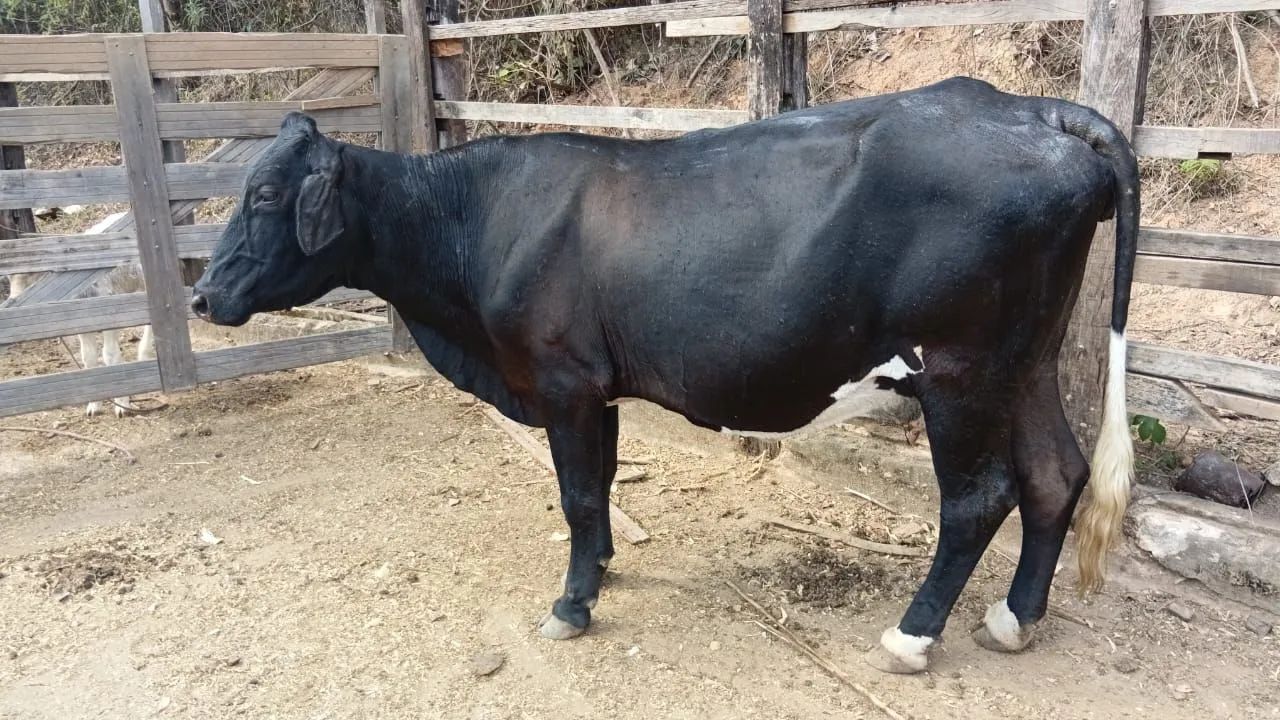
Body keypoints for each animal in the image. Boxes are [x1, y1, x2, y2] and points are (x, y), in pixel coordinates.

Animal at [191, 77, 1137, 674]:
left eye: (267, 196)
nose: (204, 293)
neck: (471, 223)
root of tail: (1028, 108)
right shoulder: (597, 386)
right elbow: (602, 485)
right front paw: (604, 568)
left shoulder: (561, 382)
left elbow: (576, 494)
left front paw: (572, 606)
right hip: (1026, 362)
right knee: (1055, 475)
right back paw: (1014, 619)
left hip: (960, 371)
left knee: (978, 499)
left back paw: (913, 636)